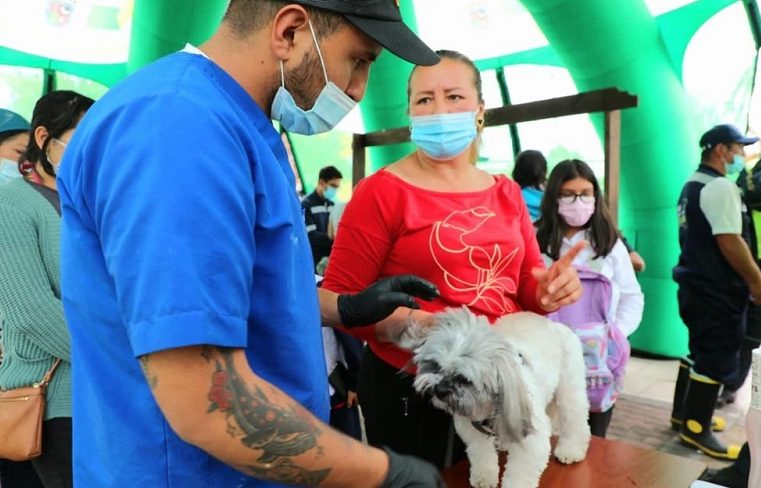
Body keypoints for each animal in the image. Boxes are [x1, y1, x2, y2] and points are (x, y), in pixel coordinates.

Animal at [394, 308, 592, 488]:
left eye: (464, 379)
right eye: (435, 366)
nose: (440, 390)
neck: (488, 406)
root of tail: (555, 325)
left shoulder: (530, 441)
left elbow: (520, 474)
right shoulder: (472, 429)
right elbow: (482, 455)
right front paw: (484, 477)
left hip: (569, 391)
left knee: (576, 420)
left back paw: (571, 450)